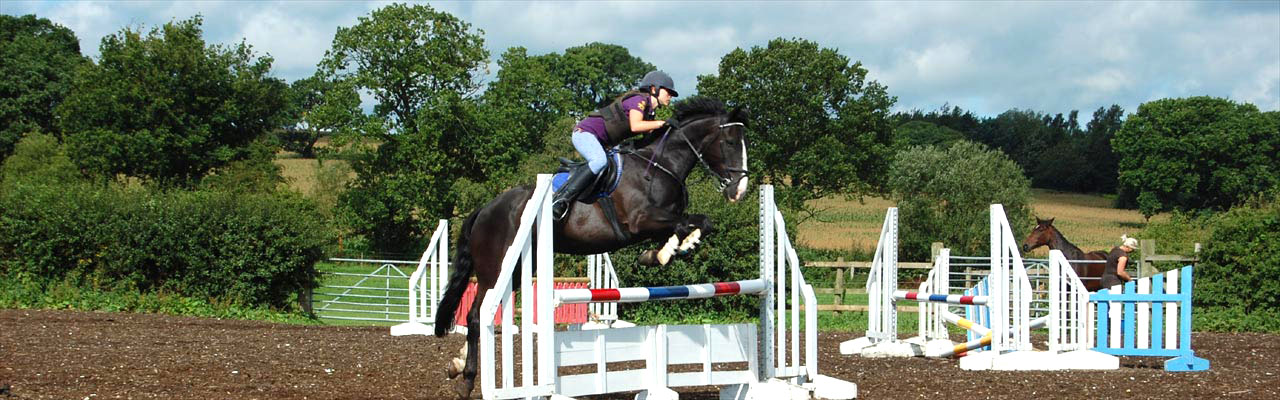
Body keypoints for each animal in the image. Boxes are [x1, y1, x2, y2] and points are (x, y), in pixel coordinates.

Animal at [432, 97, 747, 400]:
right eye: (731, 142)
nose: (739, 190)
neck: (661, 165)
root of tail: (486, 209)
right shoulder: (641, 221)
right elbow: (683, 224)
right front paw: (666, 250)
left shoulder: (662, 219)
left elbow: (699, 223)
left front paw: (666, 251)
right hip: (494, 270)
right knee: (475, 316)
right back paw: (467, 381)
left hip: (518, 269)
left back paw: (456, 364)